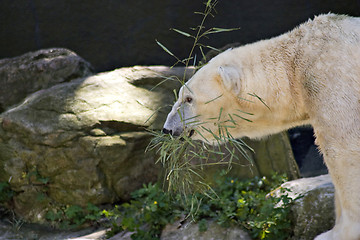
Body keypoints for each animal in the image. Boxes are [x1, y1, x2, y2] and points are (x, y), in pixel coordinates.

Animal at [164, 13, 360, 240]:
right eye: (180, 95)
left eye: (189, 99)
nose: (168, 128)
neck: (295, 65)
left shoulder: (332, 78)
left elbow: (343, 151)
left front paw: (335, 233)